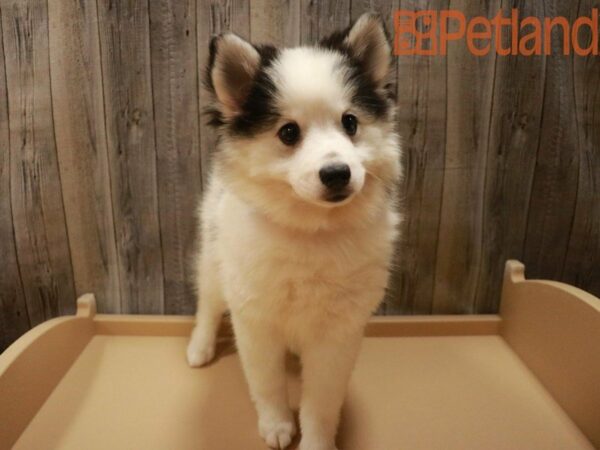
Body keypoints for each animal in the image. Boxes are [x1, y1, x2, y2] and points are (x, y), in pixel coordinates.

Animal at [188, 14, 404, 450]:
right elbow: (267, 383)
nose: (337, 172)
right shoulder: (255, 320)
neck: (311, 231)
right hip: (214, 257)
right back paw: (200, 346)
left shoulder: (338, 333)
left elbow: (322, 401)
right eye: (288, 133)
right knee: (208, 301)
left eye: (350, 122)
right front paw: (276, 424)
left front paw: (316, 440)